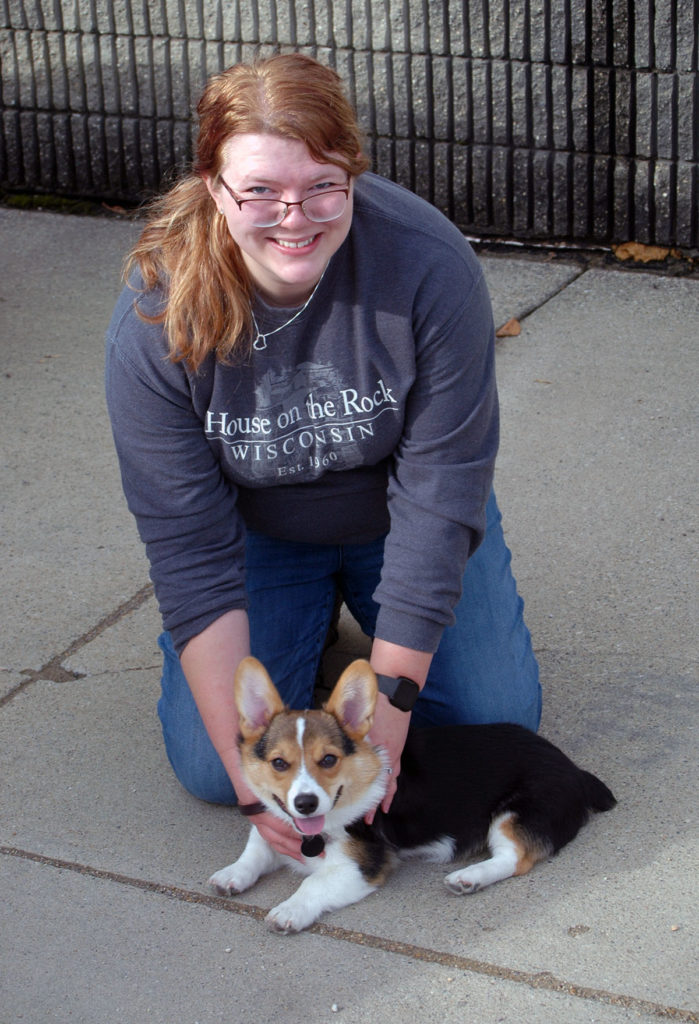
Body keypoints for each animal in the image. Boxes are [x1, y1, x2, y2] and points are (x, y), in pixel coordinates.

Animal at [210, 655, 614, 937]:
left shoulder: (362, 866)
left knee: (515, 858)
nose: (305, 803)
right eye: (279, 763)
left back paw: (469, 877)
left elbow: (313, 882)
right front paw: (232, 874)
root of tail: (574, 770)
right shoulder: (273, 827)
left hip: (515, 813)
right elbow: (255, 849)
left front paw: (289, 911)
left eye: (328, 759)